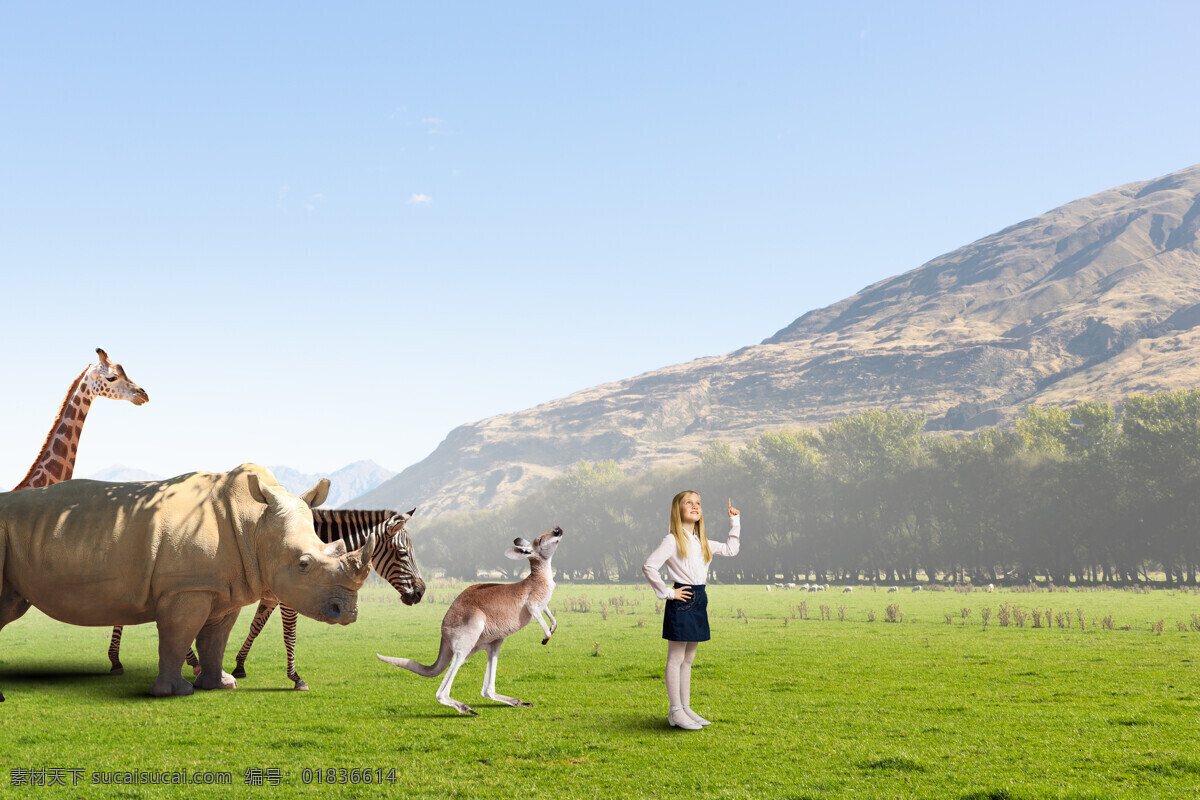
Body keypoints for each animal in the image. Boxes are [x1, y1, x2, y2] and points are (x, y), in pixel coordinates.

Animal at [106, 506, 427, 690]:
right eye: (402, 553)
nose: (421, 592)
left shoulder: (273, 596)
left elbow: (256, 627)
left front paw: (238, 665)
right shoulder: (289, 596)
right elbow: (289, 634)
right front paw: (296, 678)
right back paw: (117, 660)